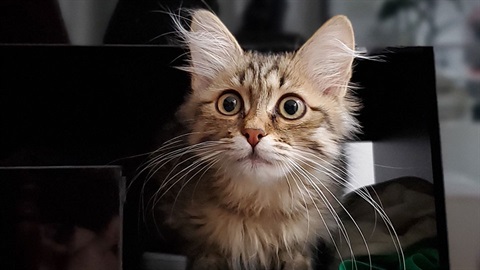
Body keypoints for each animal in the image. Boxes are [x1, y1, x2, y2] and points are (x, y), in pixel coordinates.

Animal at [144, 9, 362, 268]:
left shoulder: (299, 248)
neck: (256, 210)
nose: (253, 133)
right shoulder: (199, 246)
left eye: (291, 107)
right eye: (229, 104)